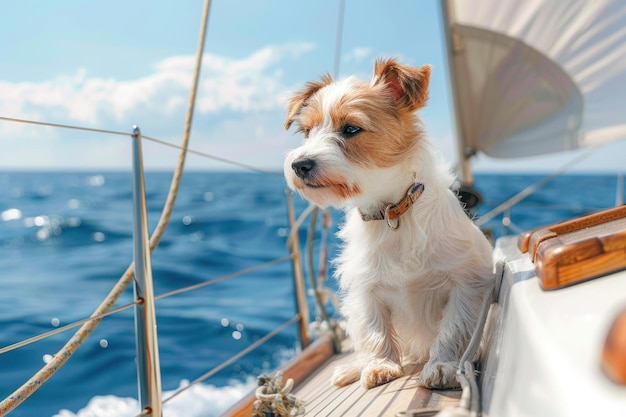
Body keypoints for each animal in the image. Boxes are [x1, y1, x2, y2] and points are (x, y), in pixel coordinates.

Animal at [282, 59, 492, 390]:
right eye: (307, 132)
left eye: (351, 128)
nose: (299, 164)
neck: (393, 213)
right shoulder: (366, 289)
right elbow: (374, 330)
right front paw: (380, 365)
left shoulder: (466, 284)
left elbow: (453, 328)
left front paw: (444, 365)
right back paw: (353, 368)